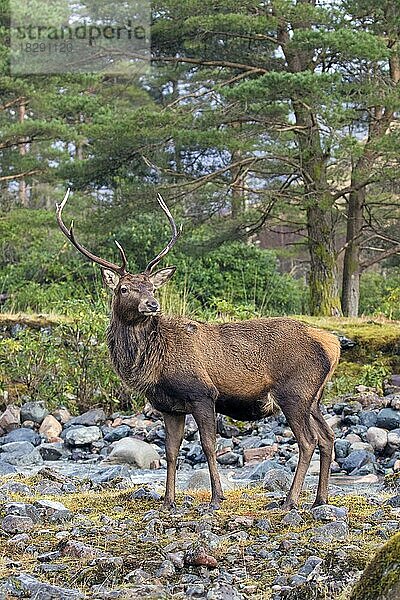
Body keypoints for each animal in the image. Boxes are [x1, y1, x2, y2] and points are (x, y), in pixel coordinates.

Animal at [56, 190, 340, 508]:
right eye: (124, 289)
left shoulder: (202, 394)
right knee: (328, 436)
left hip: (294, 393)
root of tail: (333, 344)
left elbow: (208, 446)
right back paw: (319, 499)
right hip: (313, 398)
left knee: (308, 441)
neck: (152, 365)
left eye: (152, 288)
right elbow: (170, 451)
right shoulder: (169, 407)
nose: (152, 304)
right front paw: (168, 499)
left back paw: (290, 500)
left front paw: (217, 497)